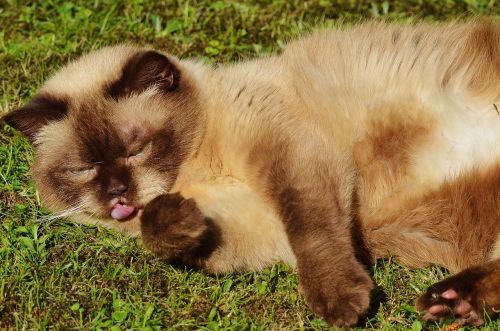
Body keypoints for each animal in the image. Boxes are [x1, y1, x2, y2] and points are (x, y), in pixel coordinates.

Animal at [4, 21, 500, 330]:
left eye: (135, 148)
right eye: (83, 169)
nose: (117, 194)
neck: (197, 169)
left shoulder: (289, 156)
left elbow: (312, 230)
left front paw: (341, 304)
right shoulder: (253, 228)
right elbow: (170, 236)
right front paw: (174, 219)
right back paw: (454, 303)